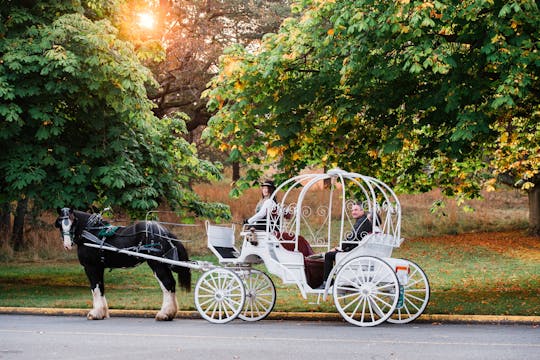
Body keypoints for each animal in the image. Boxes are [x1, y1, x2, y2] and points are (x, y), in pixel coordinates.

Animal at [54, 207, 190, 322]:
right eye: (60, 223)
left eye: (73, 222)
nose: (67, 245)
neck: (90, 232)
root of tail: (163, 231)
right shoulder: (99, 267)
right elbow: (101, 288)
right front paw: (102, 312)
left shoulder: (91, 267)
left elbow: (95, 288)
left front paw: (95, 313)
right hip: (163, 263)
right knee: (171, 284)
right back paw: (170, 313)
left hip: (157, 264)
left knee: (167, 284)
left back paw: (164, 314)